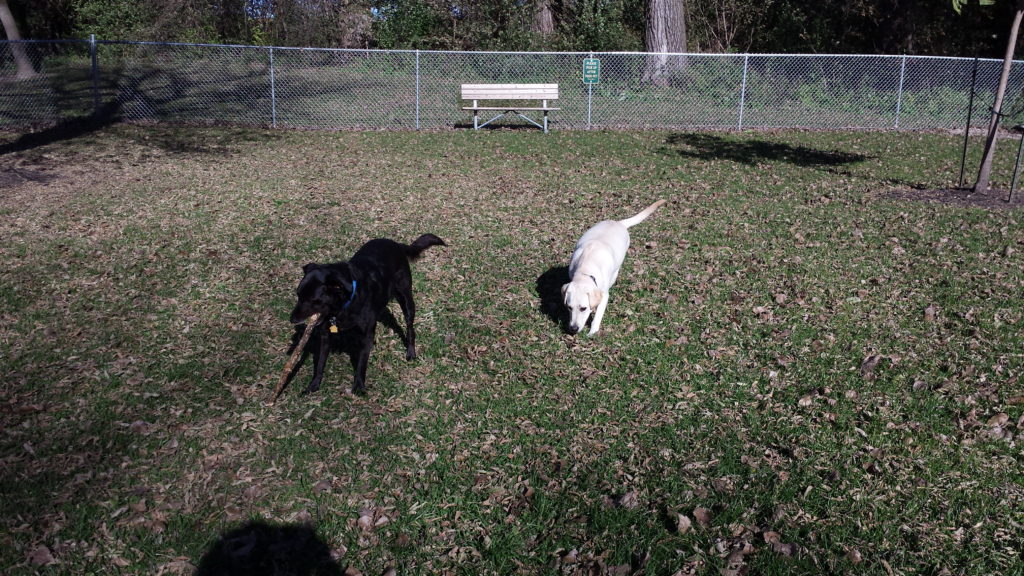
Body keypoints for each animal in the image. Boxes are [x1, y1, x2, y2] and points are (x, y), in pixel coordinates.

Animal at [289, 234, 445, 394]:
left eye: (313, 300)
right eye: (298, 295)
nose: (292, 319)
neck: (347, 302)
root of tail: (396, 244)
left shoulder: (367, 336)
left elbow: (362, 363)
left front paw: (359, 386)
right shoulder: (326, 335)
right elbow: (320, 362)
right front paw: (314, 385)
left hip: (406, 299)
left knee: (410, 327)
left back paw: (411, 351)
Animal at [562, 200, 665, 335]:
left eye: (583, 308)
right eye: (569, 307)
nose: (573, 329)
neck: (585, 268)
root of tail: (619, 223)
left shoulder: (604, 295)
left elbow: (598, 315)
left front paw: (592, 331)